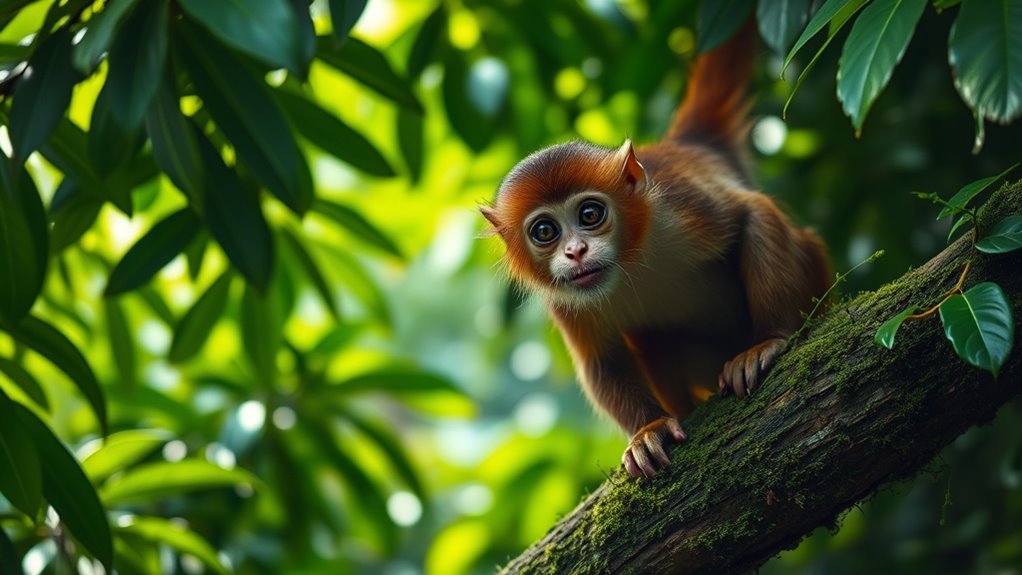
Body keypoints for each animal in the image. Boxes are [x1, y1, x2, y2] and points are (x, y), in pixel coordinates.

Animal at [479, 24, 830, 479]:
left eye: (590, 214)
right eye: (544, 231)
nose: (575, 251)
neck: (630, 261)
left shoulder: (684, 210)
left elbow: (754, 213)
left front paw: (767, 342)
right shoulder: (562, 295)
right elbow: (602, 361)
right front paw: (648, 430)